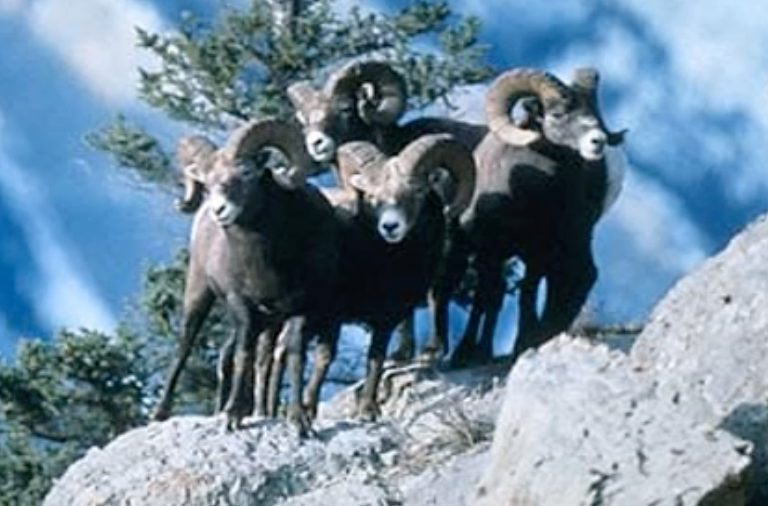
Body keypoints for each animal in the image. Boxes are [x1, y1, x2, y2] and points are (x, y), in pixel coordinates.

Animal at [151, 118, 343, 433]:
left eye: (246, 173)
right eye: (206, 182)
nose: (219, 210)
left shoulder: (301, 308)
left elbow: (294, 355)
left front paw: (298, 420)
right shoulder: (242, 304)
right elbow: (244, 355)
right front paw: (232, 417)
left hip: (268, 321)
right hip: (199, 293)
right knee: (187, 345)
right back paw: (160, 413)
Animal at [268, 133, 476, 421]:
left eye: (417, 192)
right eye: (371, 196)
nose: (390, 227)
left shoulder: (384, 320)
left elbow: (374, 359)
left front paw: (366, 410)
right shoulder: (333, 317)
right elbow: (326, 359)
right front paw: (316, 410)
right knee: (286, 349)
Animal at [286, 59, 488, 362]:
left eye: (345, 108)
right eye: (304, 121)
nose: (316, 144)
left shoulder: (447, 240)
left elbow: (435, 292)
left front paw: (431, 350)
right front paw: (402, 352)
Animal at [437, 67, 627, 367]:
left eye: (596, 113)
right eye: (557, 114)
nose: (598, 142)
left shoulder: (538, 251)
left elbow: (527, 291)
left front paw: (523, 342)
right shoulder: (493, 251)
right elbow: (488, 297)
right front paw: (468, 354)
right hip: (460, 249)